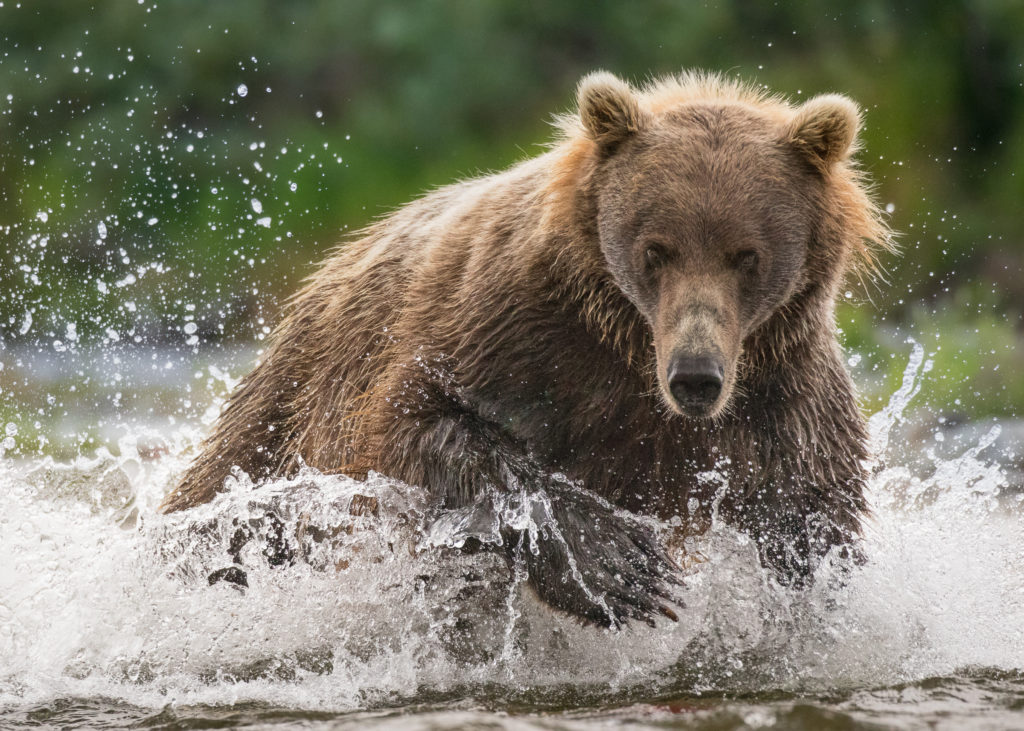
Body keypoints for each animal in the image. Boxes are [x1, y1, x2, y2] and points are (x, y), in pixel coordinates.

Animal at [159, 69, 888, 626]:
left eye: (747, 255)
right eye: (657, 250)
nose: (695, 376)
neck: (626, 343)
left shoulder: (779, 388)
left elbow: (811, 508)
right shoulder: (513, 330)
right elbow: (422, 425)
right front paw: (617, 566)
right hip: (286, 409)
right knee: (228, 508)